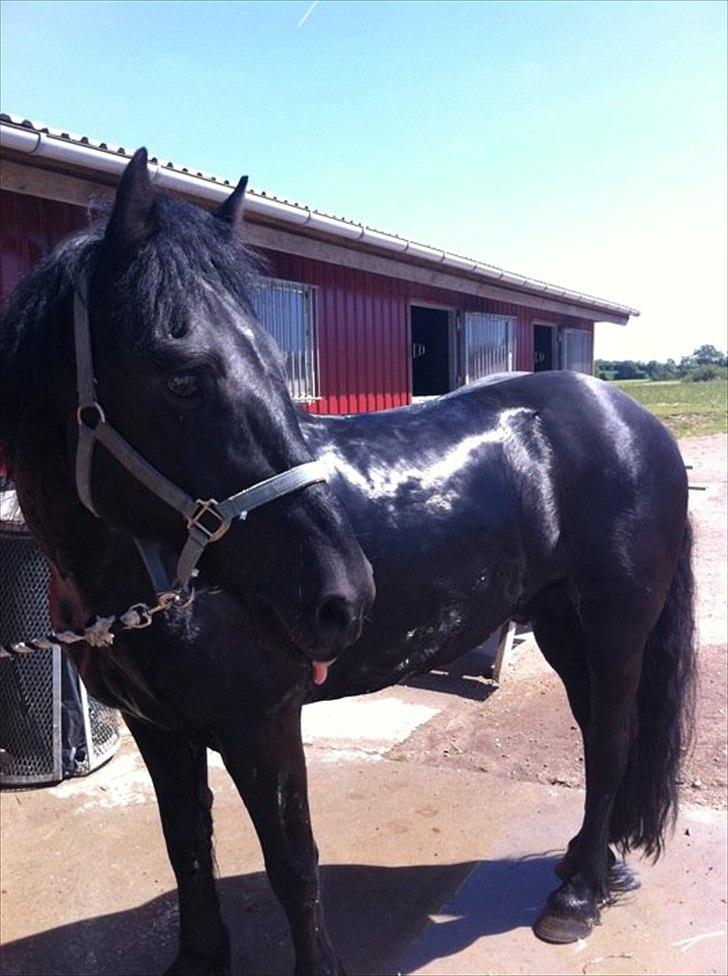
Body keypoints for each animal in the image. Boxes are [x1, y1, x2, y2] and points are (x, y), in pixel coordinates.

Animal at [0, 151, 695, 975]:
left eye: (276, 362)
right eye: (182, 378)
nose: (344, 595)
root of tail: (636, 422)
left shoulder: (263, 725)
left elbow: (292, 865)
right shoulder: (159, 730)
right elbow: (186, 847)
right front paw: (200, 958)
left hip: (616, 630)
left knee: (613, 742)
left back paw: (578, 898)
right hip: (564, 628)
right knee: (598, 737)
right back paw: (595, 864)